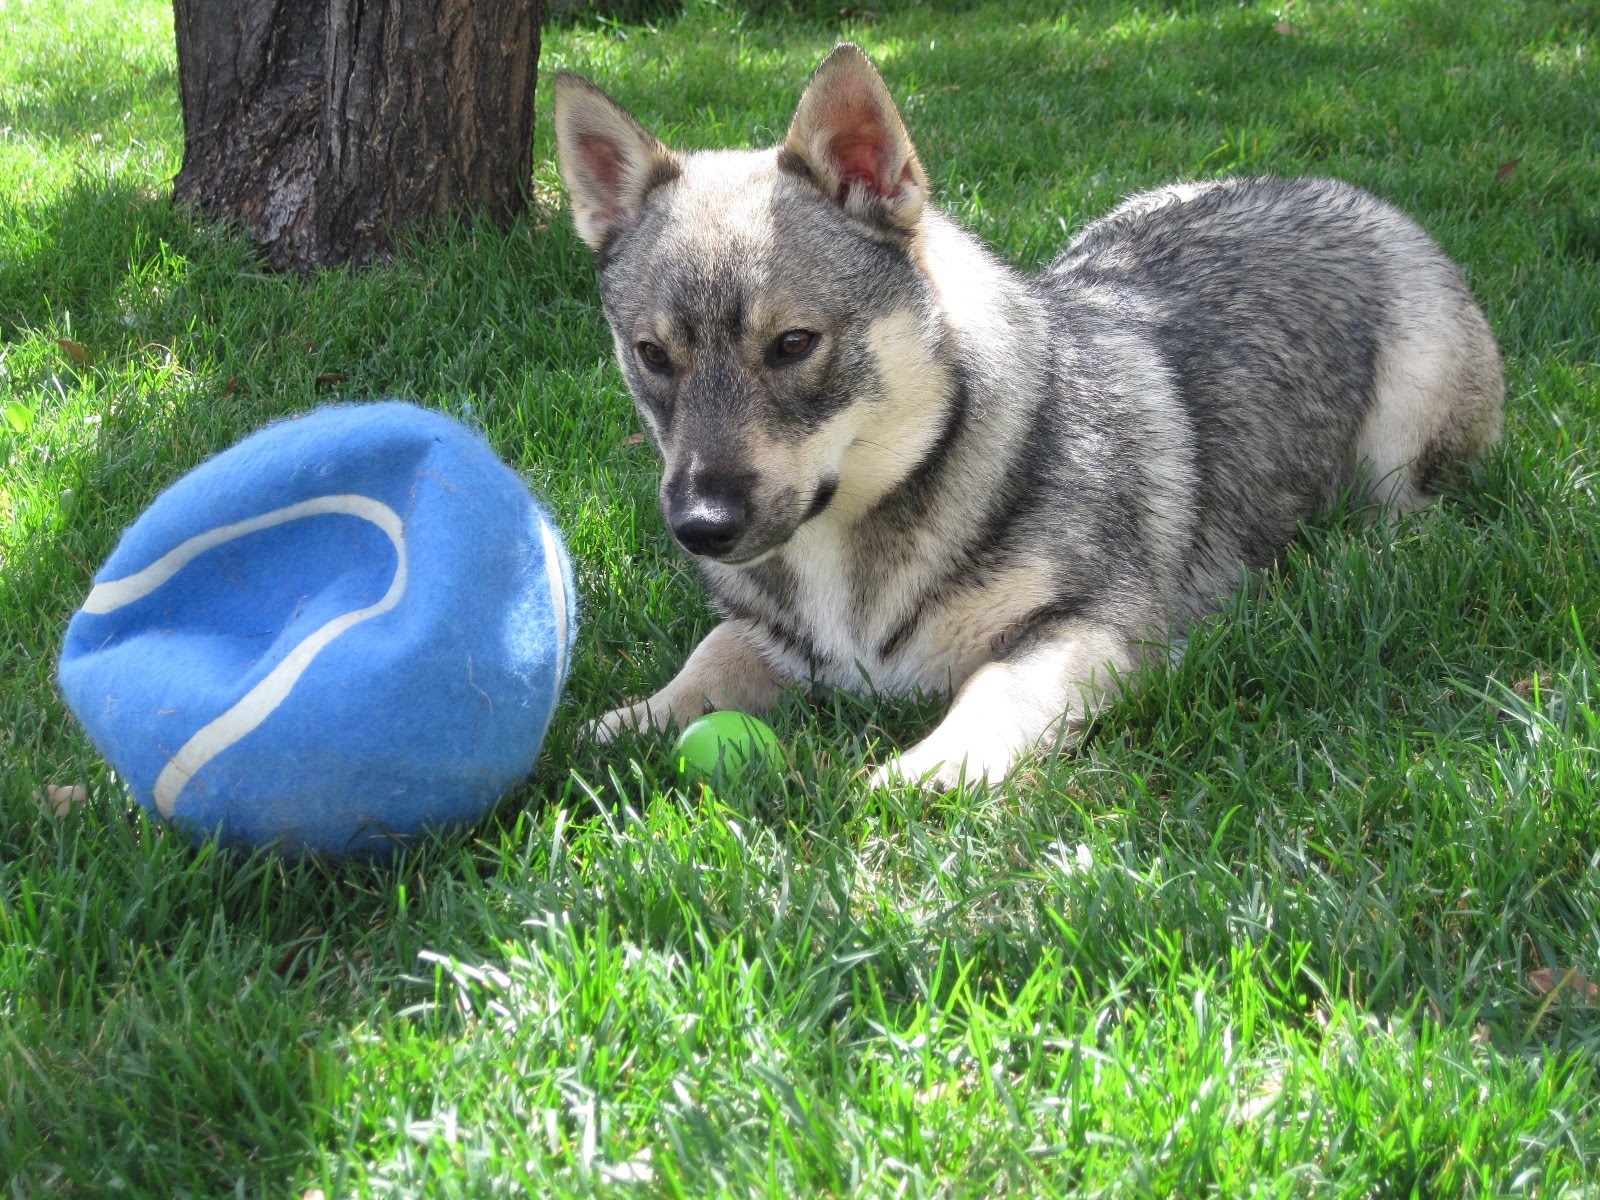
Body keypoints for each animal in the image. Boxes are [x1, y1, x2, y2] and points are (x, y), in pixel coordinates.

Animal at [550, 44, 1497, 790]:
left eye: (792, 344)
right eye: (652, 355)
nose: (700, 525)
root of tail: (1346, 190)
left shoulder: (1094, 630)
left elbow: (993, 687)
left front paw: (926, 769)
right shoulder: (766, 636)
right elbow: (708, 656)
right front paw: (619, 724)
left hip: (1404, 432)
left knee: (1412, 508)